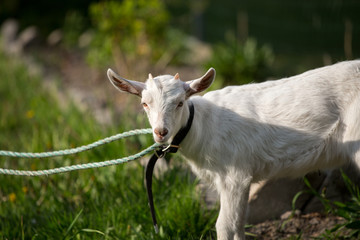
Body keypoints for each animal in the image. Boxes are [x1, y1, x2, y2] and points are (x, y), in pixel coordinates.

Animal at [107, 61, 360, 240]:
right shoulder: (241, 179)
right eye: (144, 103)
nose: (161, 131)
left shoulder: (234, 176)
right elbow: (239, 224)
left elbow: (224, 225)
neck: (202, 126)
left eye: (179, 103)